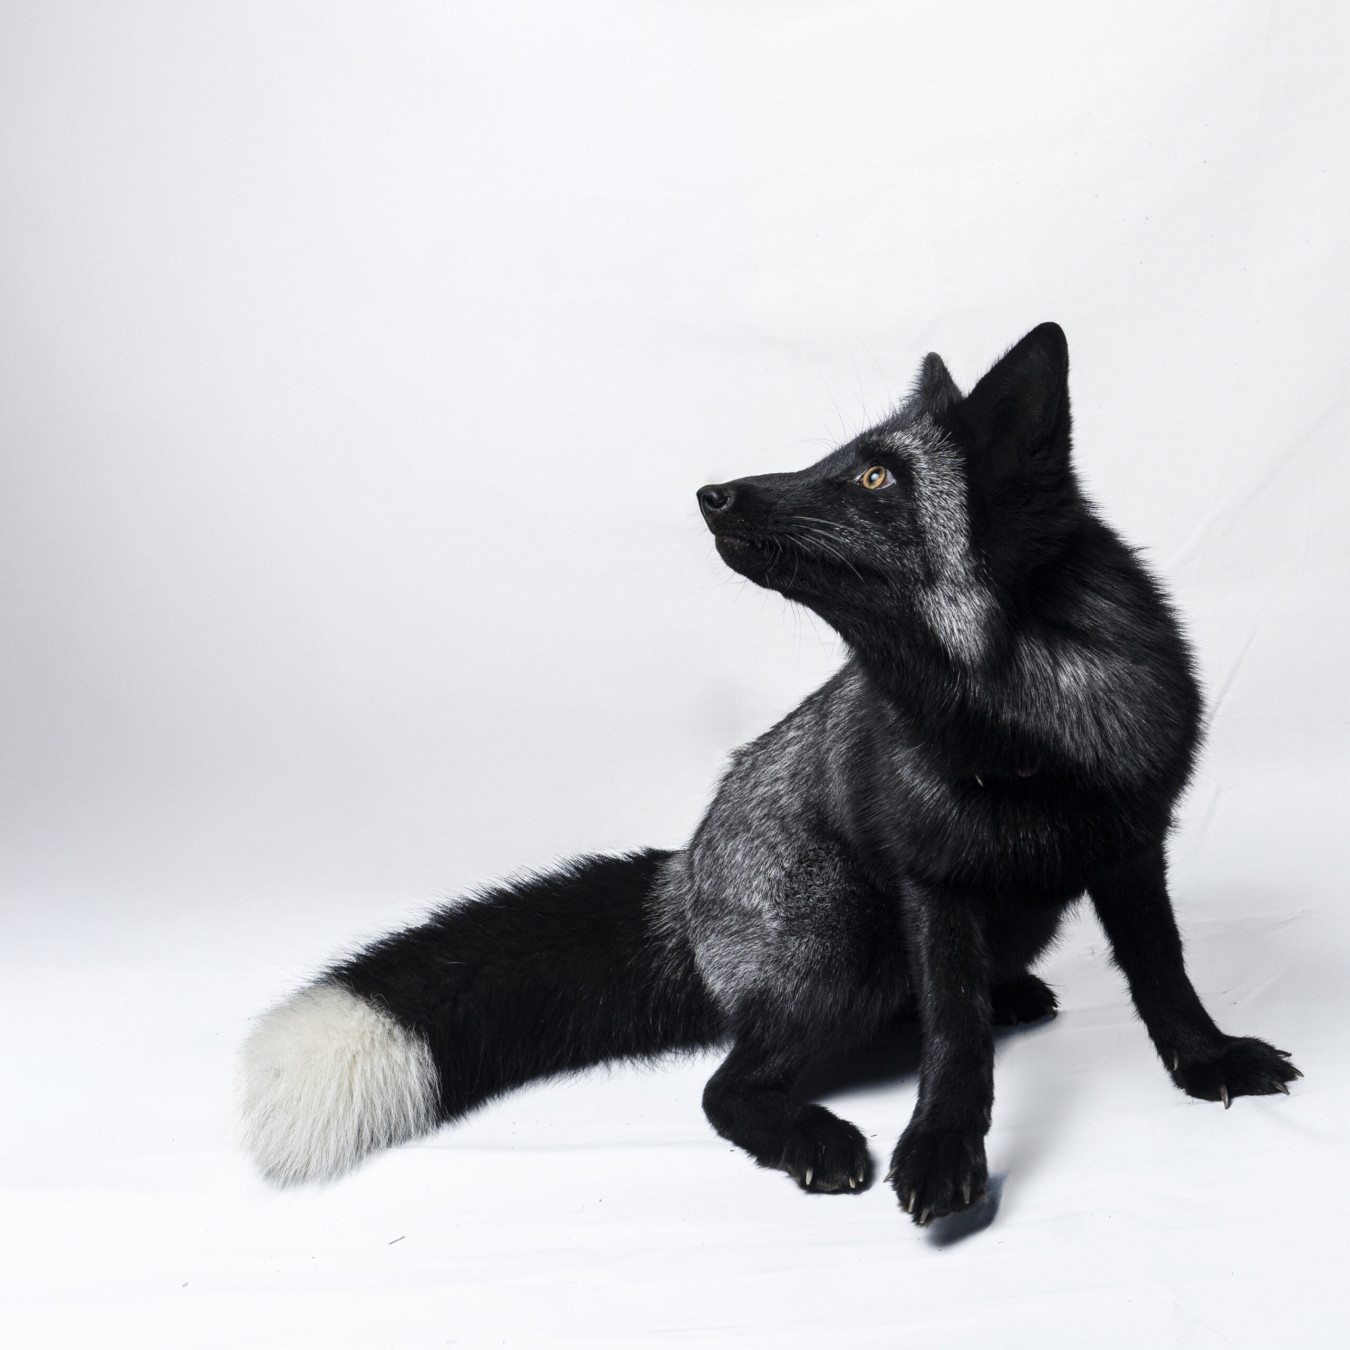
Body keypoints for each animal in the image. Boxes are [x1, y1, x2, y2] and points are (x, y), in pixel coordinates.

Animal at [238, 323, 1298, 1224]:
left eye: (873, 477)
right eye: (841, 460)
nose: (712, 493)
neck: (1018, 730)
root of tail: (683, 887)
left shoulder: (1131, 844)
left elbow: (1163, 972)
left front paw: (1207, 1059)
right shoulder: (932, 882)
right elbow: (953, 1040)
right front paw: (942, 1147)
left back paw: (1004, 1001)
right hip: (844, 945)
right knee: (728, 1085)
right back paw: (814, 1135)